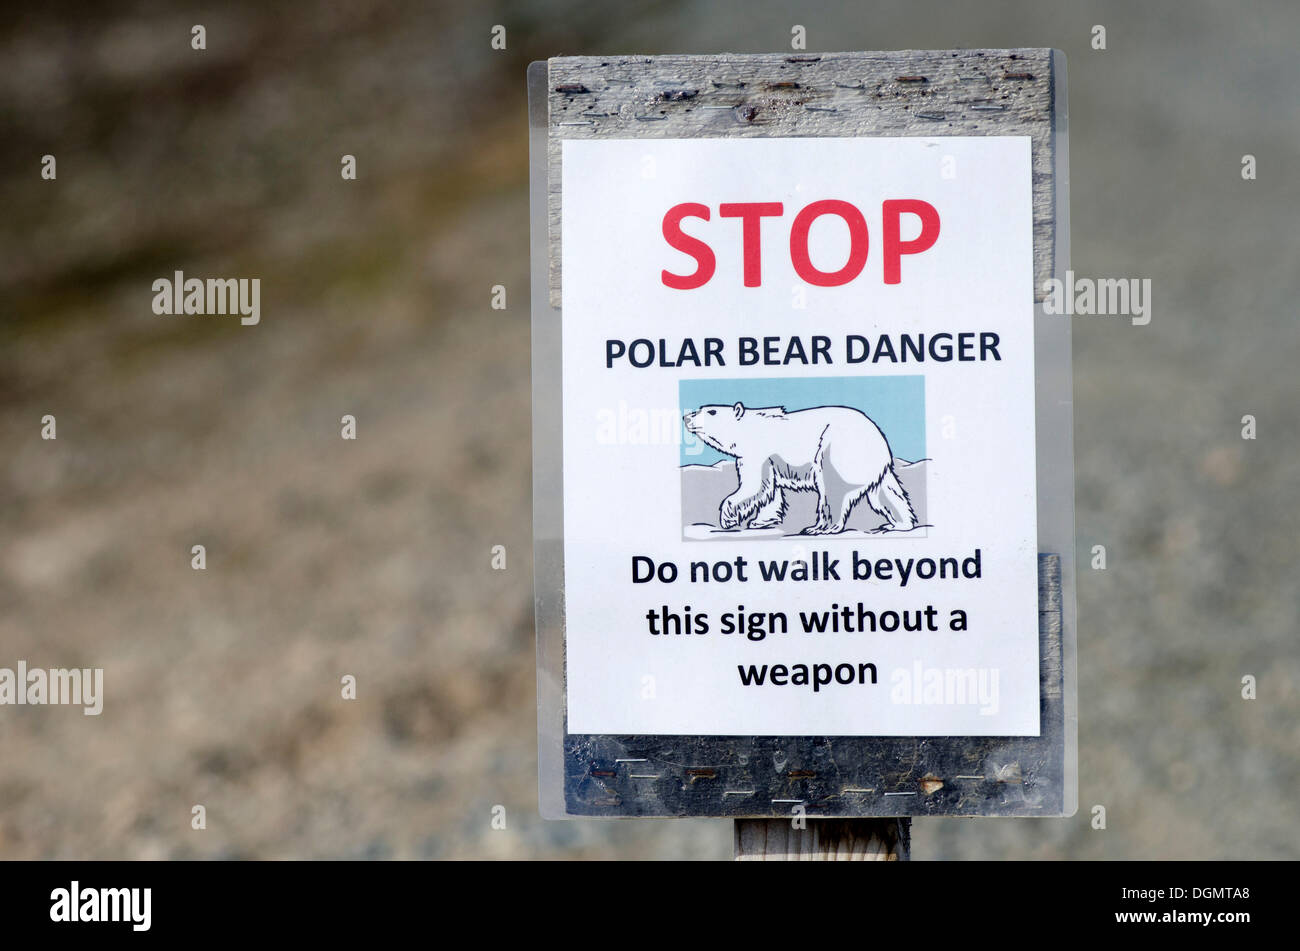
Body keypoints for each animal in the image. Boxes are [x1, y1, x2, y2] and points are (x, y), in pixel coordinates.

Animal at [682, 401, 918, 535]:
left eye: (711, 411)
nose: (686, 416)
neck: (749, 430)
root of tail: (880, 439)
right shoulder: (765, 459)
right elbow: (770, 489)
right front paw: (760, 521)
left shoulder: (758, 451)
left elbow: (753, 486)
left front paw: (727, 518)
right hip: (872, 465)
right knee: (886, 492)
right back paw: (899, 524)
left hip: (834, 448)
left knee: (832, 489)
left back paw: (821, 528)